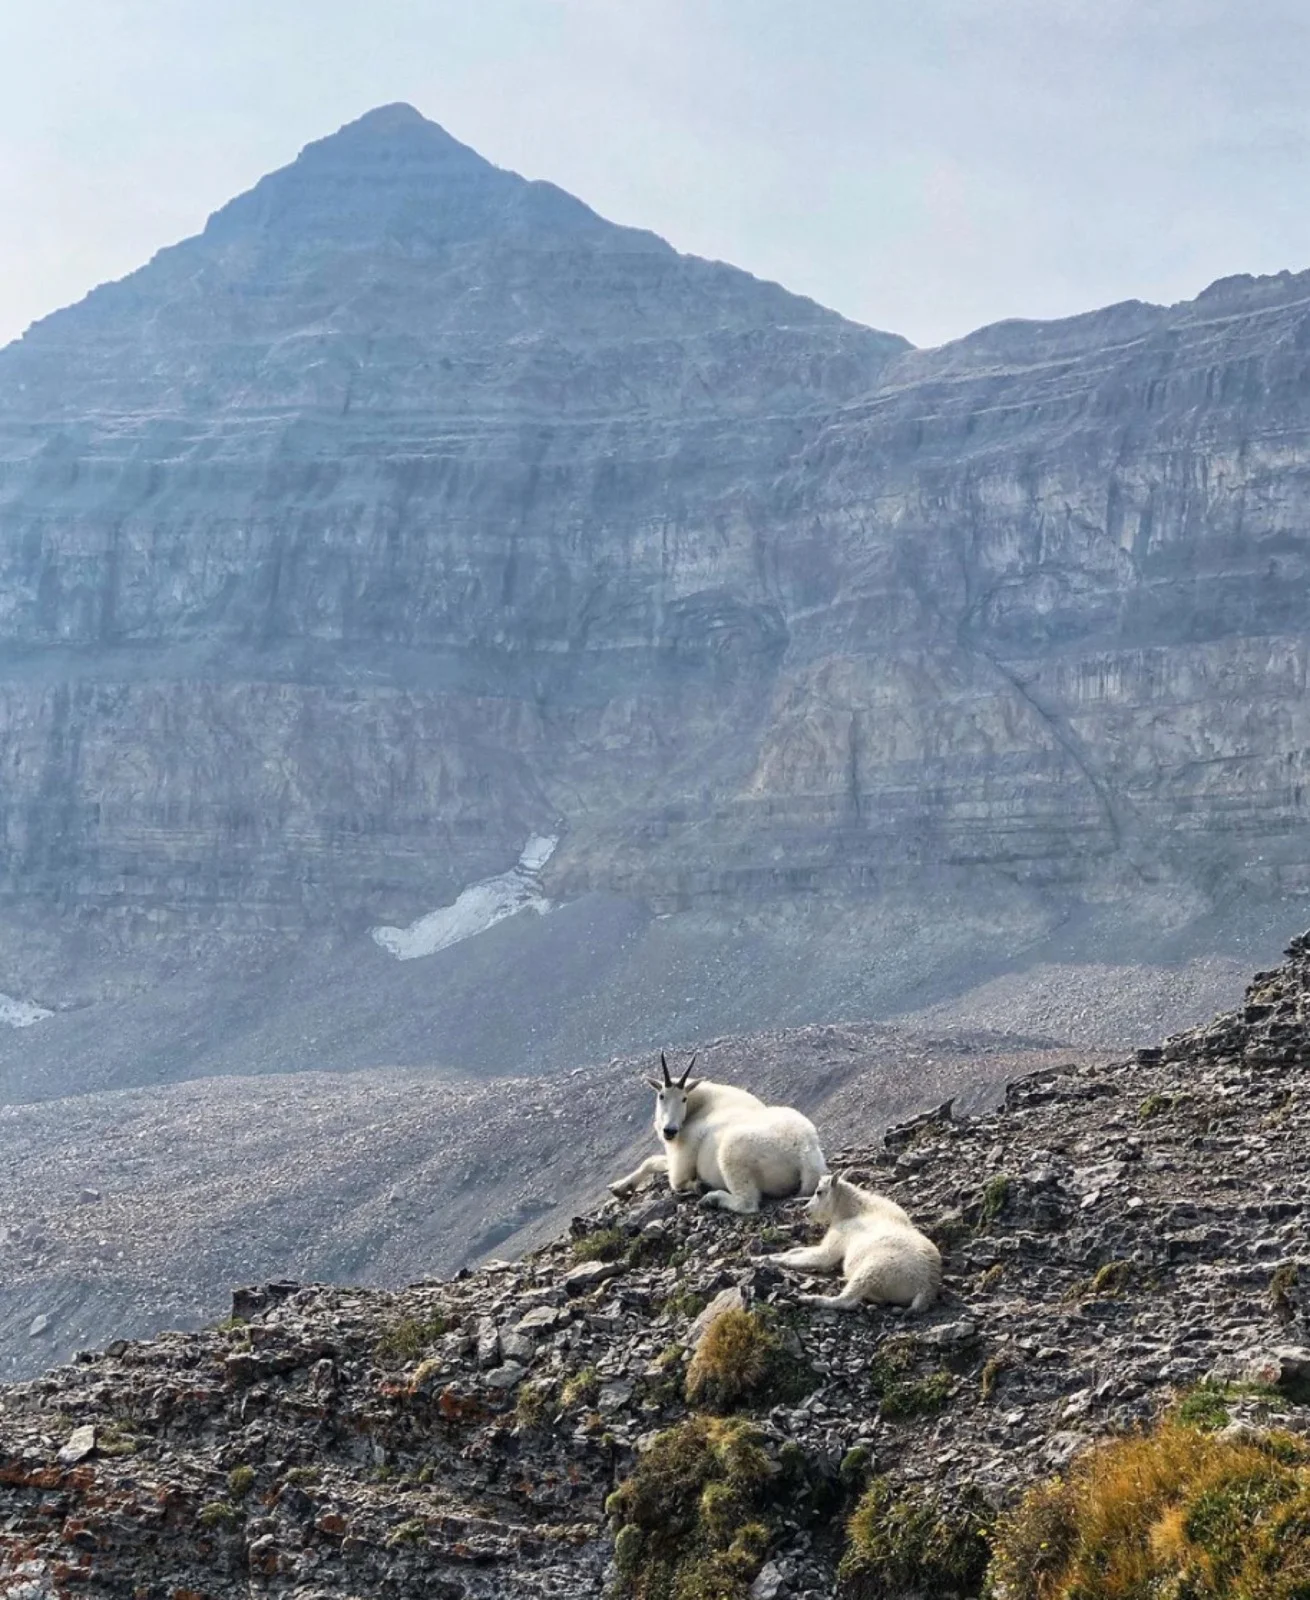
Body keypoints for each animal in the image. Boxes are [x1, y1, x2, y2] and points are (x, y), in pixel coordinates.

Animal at [609, 1052, 828, 1215]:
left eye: (683, 1098)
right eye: (661, 1096)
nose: (669, 1131)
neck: (701, 1105)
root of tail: (805, 1155)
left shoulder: (682, 1162)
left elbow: (668, 1175)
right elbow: (652, 1161)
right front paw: (619, 1187)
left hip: (732, 1151)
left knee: (747, 1203)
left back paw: (711, 1198)